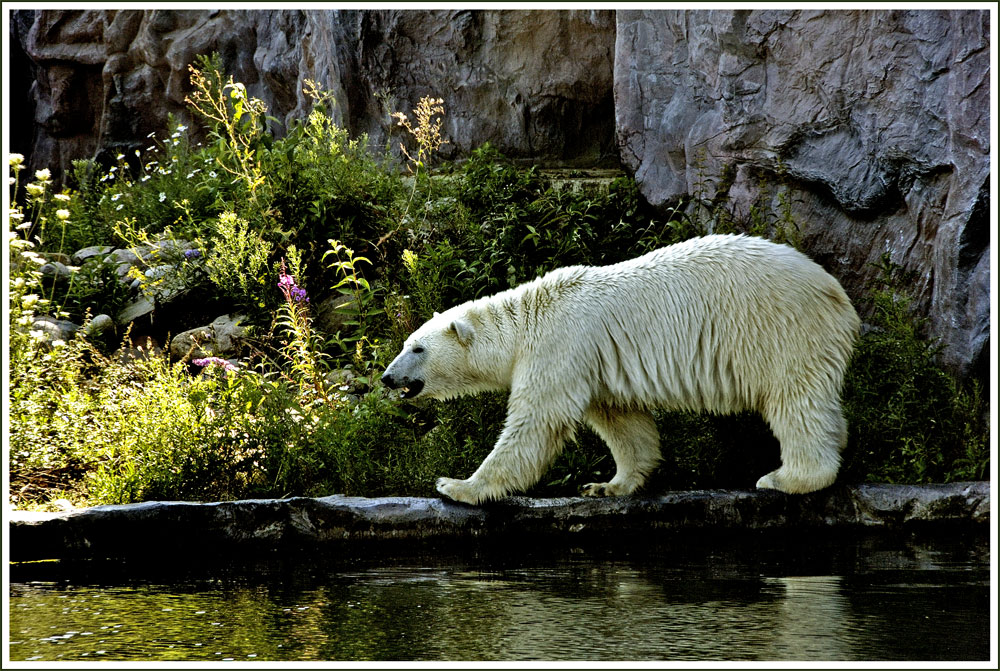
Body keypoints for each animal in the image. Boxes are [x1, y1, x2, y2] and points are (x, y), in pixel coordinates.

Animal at [382, 236, 860, 504]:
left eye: (418, 348)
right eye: (405, 344)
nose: (387, 377)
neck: (528, 319)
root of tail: (836, 295)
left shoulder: (561, 345)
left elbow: (537, 422)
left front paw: (456, 486)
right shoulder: (596, 362)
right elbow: (624, 424)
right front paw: (607, 486)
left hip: (781, 331)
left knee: (794, 401)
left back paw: (787, 478)